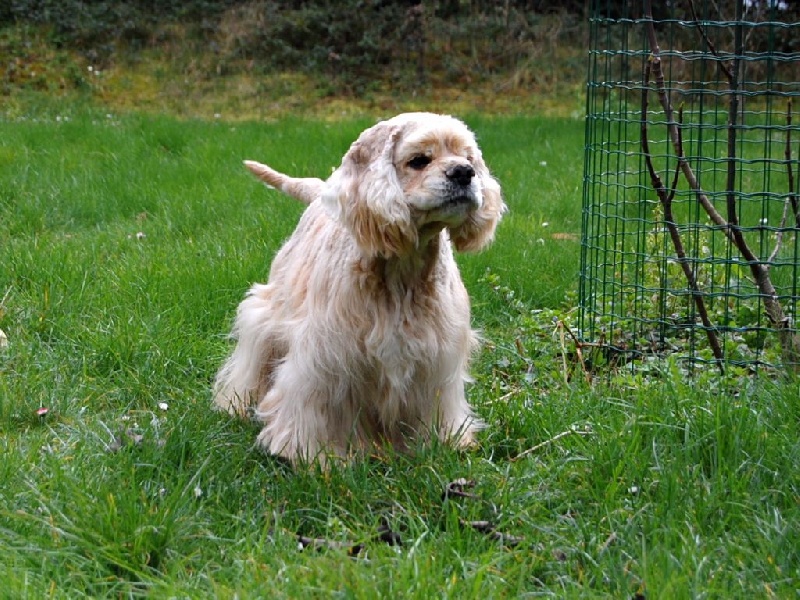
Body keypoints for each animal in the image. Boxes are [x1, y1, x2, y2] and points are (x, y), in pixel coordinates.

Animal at [212, 115, 506, 466]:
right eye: (419, 160)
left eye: (469, 157)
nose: (464, 172)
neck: (403, 268)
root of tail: (319, 192)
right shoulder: (327, 356)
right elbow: (317, 407)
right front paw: (312, 454)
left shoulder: (436, 357)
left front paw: (440, 442)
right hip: (268, 312)